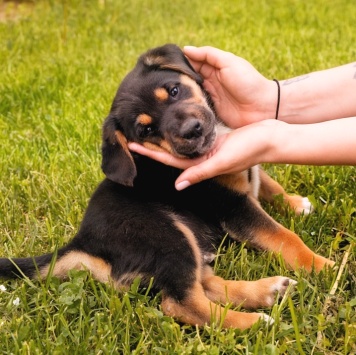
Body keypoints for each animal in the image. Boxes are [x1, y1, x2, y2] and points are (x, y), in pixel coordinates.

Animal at [0, 43, 334, 330]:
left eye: (174, 91)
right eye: (146, 129)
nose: (192, 130)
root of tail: (83, 242)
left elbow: (267, 183)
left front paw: (294, 204)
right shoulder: (232, 205)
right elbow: (283, 237)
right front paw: (320, 265)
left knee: (204, 284)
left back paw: (269, 290)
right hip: (167, 236)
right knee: (181, 303)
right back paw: (255, 322)